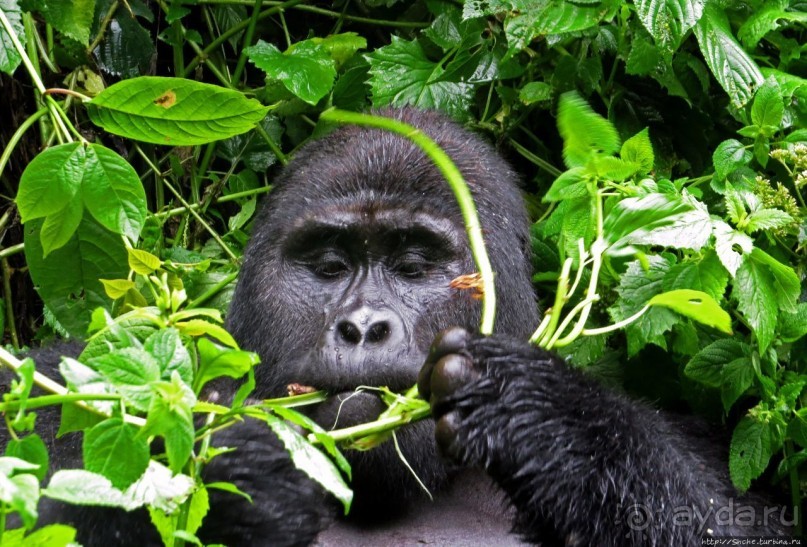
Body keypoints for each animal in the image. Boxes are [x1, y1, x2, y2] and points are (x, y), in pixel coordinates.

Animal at [0, 107, 792, 544]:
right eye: (328, 266)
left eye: (413, 266)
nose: (361, 326)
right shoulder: (66, 381)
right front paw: (231, 465)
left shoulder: (709, 447)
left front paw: (547, 416)